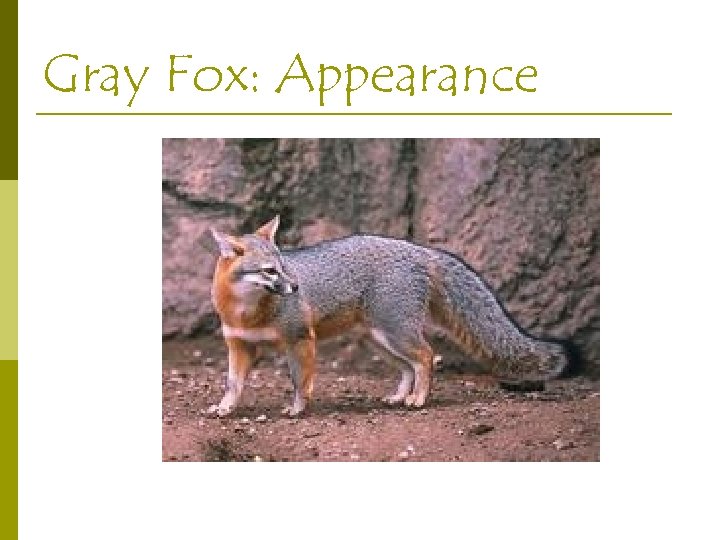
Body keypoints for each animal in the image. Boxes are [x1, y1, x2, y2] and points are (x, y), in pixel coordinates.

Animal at [207, 215, 575, 417]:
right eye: (270, 271)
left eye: (284, 266)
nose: (296, 286)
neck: (246, 312)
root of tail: (419, 249)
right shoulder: (239, 346)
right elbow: (233, 383)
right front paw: (225, 408)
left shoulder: (299, 340)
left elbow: (301, 381)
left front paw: (297, 409)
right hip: (379, 341)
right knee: (409, 367)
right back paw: (401, 396)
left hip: (394, 334)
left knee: (427, 356)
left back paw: (418, 400)